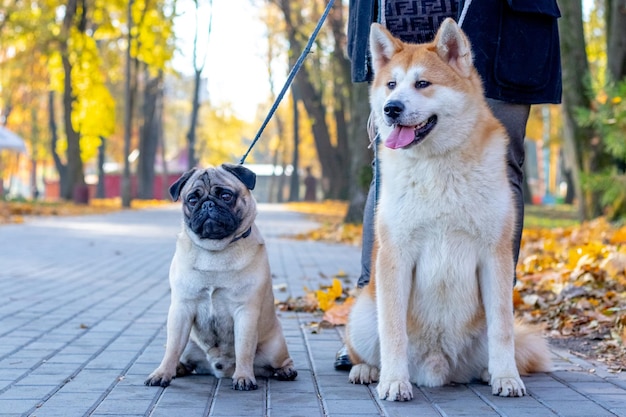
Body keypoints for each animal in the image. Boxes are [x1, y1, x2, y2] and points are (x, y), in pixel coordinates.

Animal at [145, 163, 296, 390]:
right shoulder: (181, 309)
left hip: (275, 347)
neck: (215, 250)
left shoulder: (245, 312)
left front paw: (243, 377)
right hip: (189, 342)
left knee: (279, 361)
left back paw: (285, 371)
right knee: (183, 355)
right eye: (192, 199)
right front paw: (162, 373)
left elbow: (244, 349)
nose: (208, 204)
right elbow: (171, 348)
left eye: (226, 196)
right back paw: (178, 368)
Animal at [344, 17, 548, 402]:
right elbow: (393, 331)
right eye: (391, 84)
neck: (438, 166)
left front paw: (506, 378)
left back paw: (488, 372)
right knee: (366, 349)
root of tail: (439, 369)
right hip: (363, 314)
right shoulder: (396, 255)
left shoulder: (495, 256)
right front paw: (394, 381)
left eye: (422, 83)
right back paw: (368, 370)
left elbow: (502, 329)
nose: (391, 108)